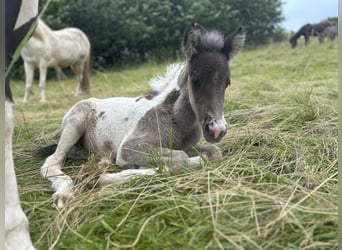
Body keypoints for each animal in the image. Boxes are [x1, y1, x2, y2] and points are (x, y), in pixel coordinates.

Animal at [35, 22, 246, 208]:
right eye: (194, 79)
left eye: (227, 83)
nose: (217, 130)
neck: (175, 118)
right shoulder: (129, 147)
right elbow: (180, 159)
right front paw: (113, 176)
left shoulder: (187, 145)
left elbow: (213, 152)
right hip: (74, 123)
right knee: (51, 162)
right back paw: (63, 194)